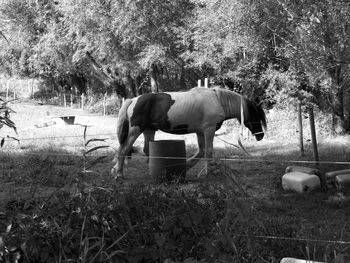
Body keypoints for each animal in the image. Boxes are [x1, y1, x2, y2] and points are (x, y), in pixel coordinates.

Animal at [110, 86, 266, 179]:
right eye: (257, 116)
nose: (261, 136)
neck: (218, 101)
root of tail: (133, 100)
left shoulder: (200, 132)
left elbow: (201, 152)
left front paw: (187, 166)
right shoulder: (209, 130)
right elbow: (208, 151)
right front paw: (210, 172)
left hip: (149, 131)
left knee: (145, 150)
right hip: (135, 131)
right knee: (124, 149)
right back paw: (119, 173)